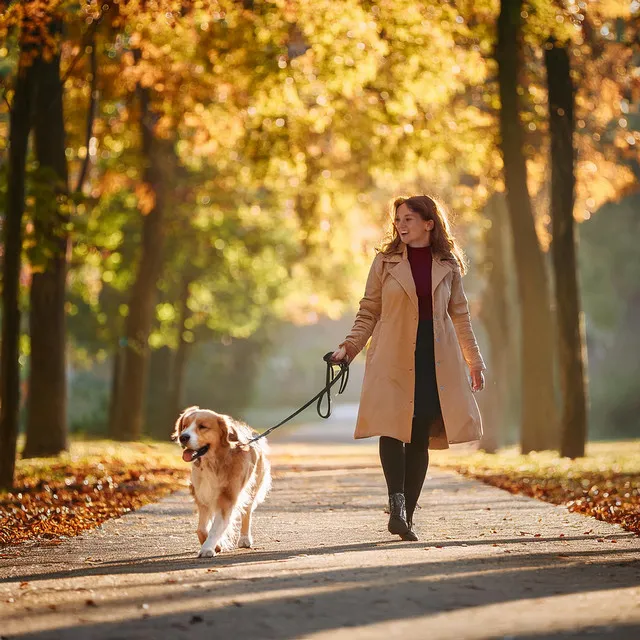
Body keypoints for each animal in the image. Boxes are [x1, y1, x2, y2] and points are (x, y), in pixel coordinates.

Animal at [172, 408, 270, 556]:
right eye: (184, 426)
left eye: (202, 426)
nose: (183, 437)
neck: (213, 463)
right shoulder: (203, 497)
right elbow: (201, 529)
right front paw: (216, 545)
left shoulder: (227, 498)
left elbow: (216, 527)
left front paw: (207, 548)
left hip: (252, 488)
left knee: (247, 512)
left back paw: (244, 538)